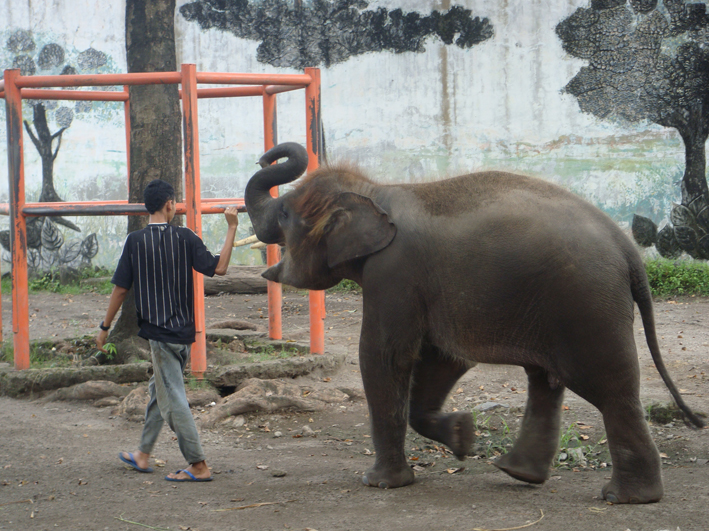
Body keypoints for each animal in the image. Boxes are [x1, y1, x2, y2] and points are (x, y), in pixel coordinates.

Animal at [245, 142, 704, 508]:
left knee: (608, 388)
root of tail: (628, 250)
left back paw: (625, 498)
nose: (267, 155)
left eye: (284, 212)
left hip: (587, 303)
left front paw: (381, 484)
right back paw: (520, 473)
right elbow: (442, 359)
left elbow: (384, 357)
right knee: (546, 380)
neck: (373, 192)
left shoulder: (393, 274)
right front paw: (463, 436)